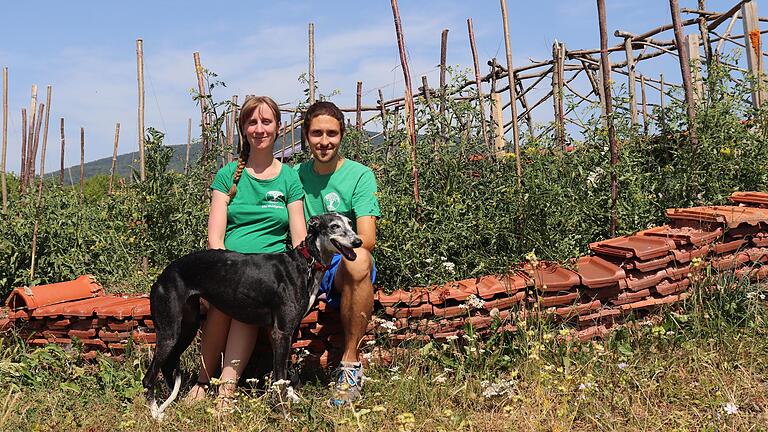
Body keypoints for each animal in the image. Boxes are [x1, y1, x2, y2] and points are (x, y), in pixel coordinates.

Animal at [142, 213, 364, 418]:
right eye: (334, 226)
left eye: (350, 224)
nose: (358, 242)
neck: (305, 263)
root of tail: (163, 275)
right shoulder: (281, 332)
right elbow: (279, 377)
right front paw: (284, 414)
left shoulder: (286, 331)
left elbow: (284, 372)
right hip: (170, 332)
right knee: (148, 378)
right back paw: (156, 414)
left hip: (187, 326)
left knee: (167, 366)